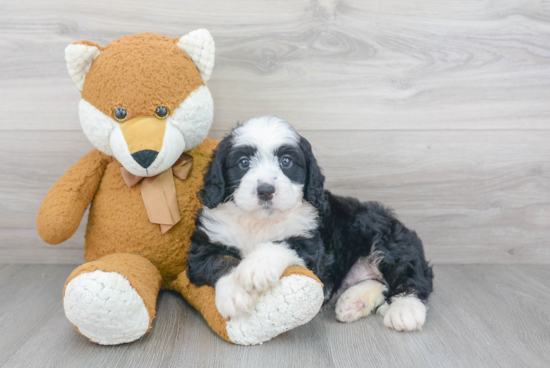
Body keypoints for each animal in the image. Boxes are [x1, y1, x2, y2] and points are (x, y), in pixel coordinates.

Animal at [190, 116, 436, 332]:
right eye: (243, 162)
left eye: (286, 161)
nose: (266, 190)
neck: (260, 221)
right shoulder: (203, 246)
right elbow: (221, 260)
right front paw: (235, 293)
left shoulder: (311, 246)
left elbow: (281, 243)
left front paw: (256, 267)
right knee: (382, 284)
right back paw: (354, 302)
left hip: (388, 239)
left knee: (413, 276)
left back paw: (405, 310)